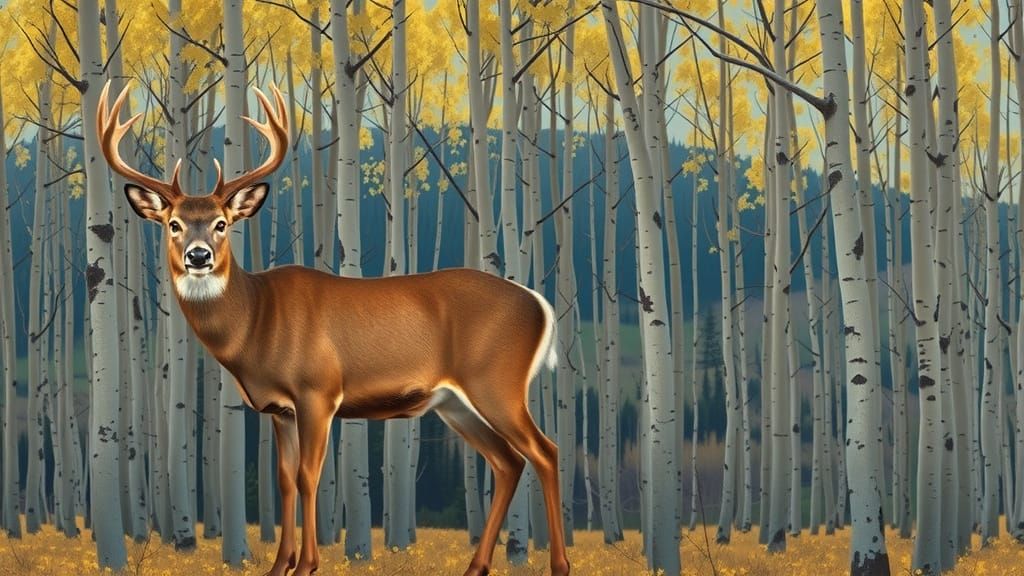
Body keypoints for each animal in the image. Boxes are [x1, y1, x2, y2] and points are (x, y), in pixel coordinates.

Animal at [97, 80, 570, 576]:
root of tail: (541, 305)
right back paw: (476, 566)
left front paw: (307, 564)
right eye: (173, 224)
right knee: (508, 461)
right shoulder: (278, 410)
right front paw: (279, 565)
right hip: (455, 402)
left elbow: (310, 477)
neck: (256, 323)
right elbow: (285, 481)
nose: (198, 255)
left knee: (545, 451)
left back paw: (559, 564)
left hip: (496, 382)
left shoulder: (318, 391)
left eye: (222, 224)